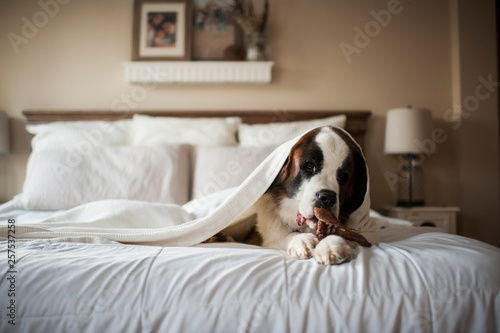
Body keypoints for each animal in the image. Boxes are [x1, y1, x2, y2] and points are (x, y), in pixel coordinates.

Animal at [254, 124, 368, 264]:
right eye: (309, 166)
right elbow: (282, 237)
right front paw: (301, 240)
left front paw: (332, 245)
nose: (327, 197)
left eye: (342, 176)